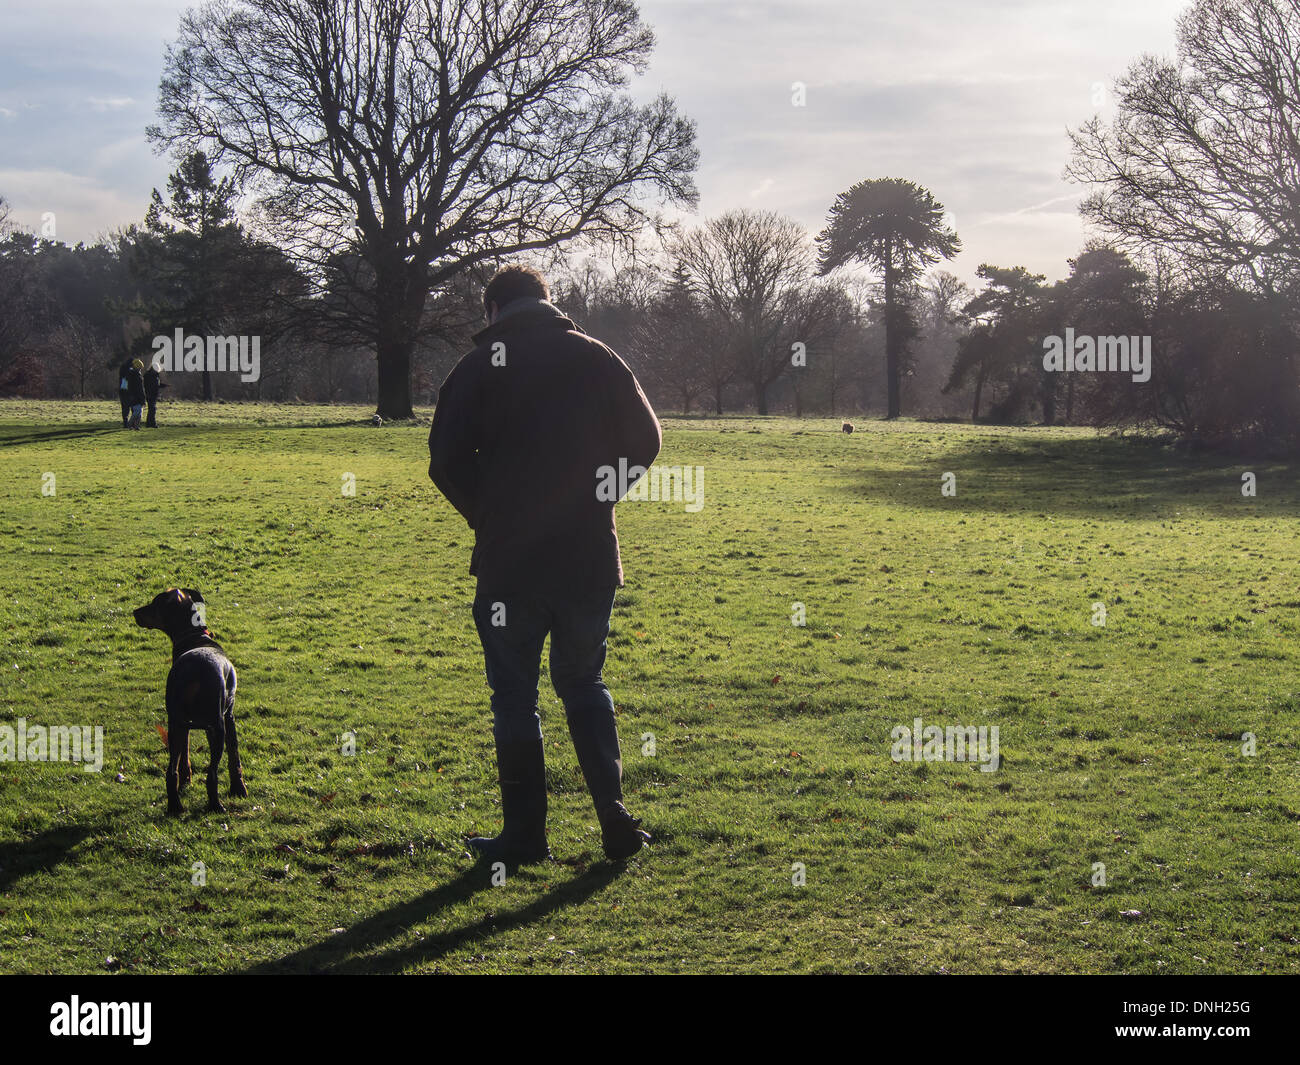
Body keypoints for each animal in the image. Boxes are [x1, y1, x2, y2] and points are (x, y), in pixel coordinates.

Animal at [135, 590, 246, 816]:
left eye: (154, 603)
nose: (134, 612)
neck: (194, 636)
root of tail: (190, 674)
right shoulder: (228, 715)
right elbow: (234, 756)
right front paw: (239, 788)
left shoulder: (185, 725)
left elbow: (184, 755)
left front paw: (187, 780)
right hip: (217, 725)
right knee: (211, 774)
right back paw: (216, 806)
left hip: (176, 723)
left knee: (171, 772)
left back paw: (175, 807)